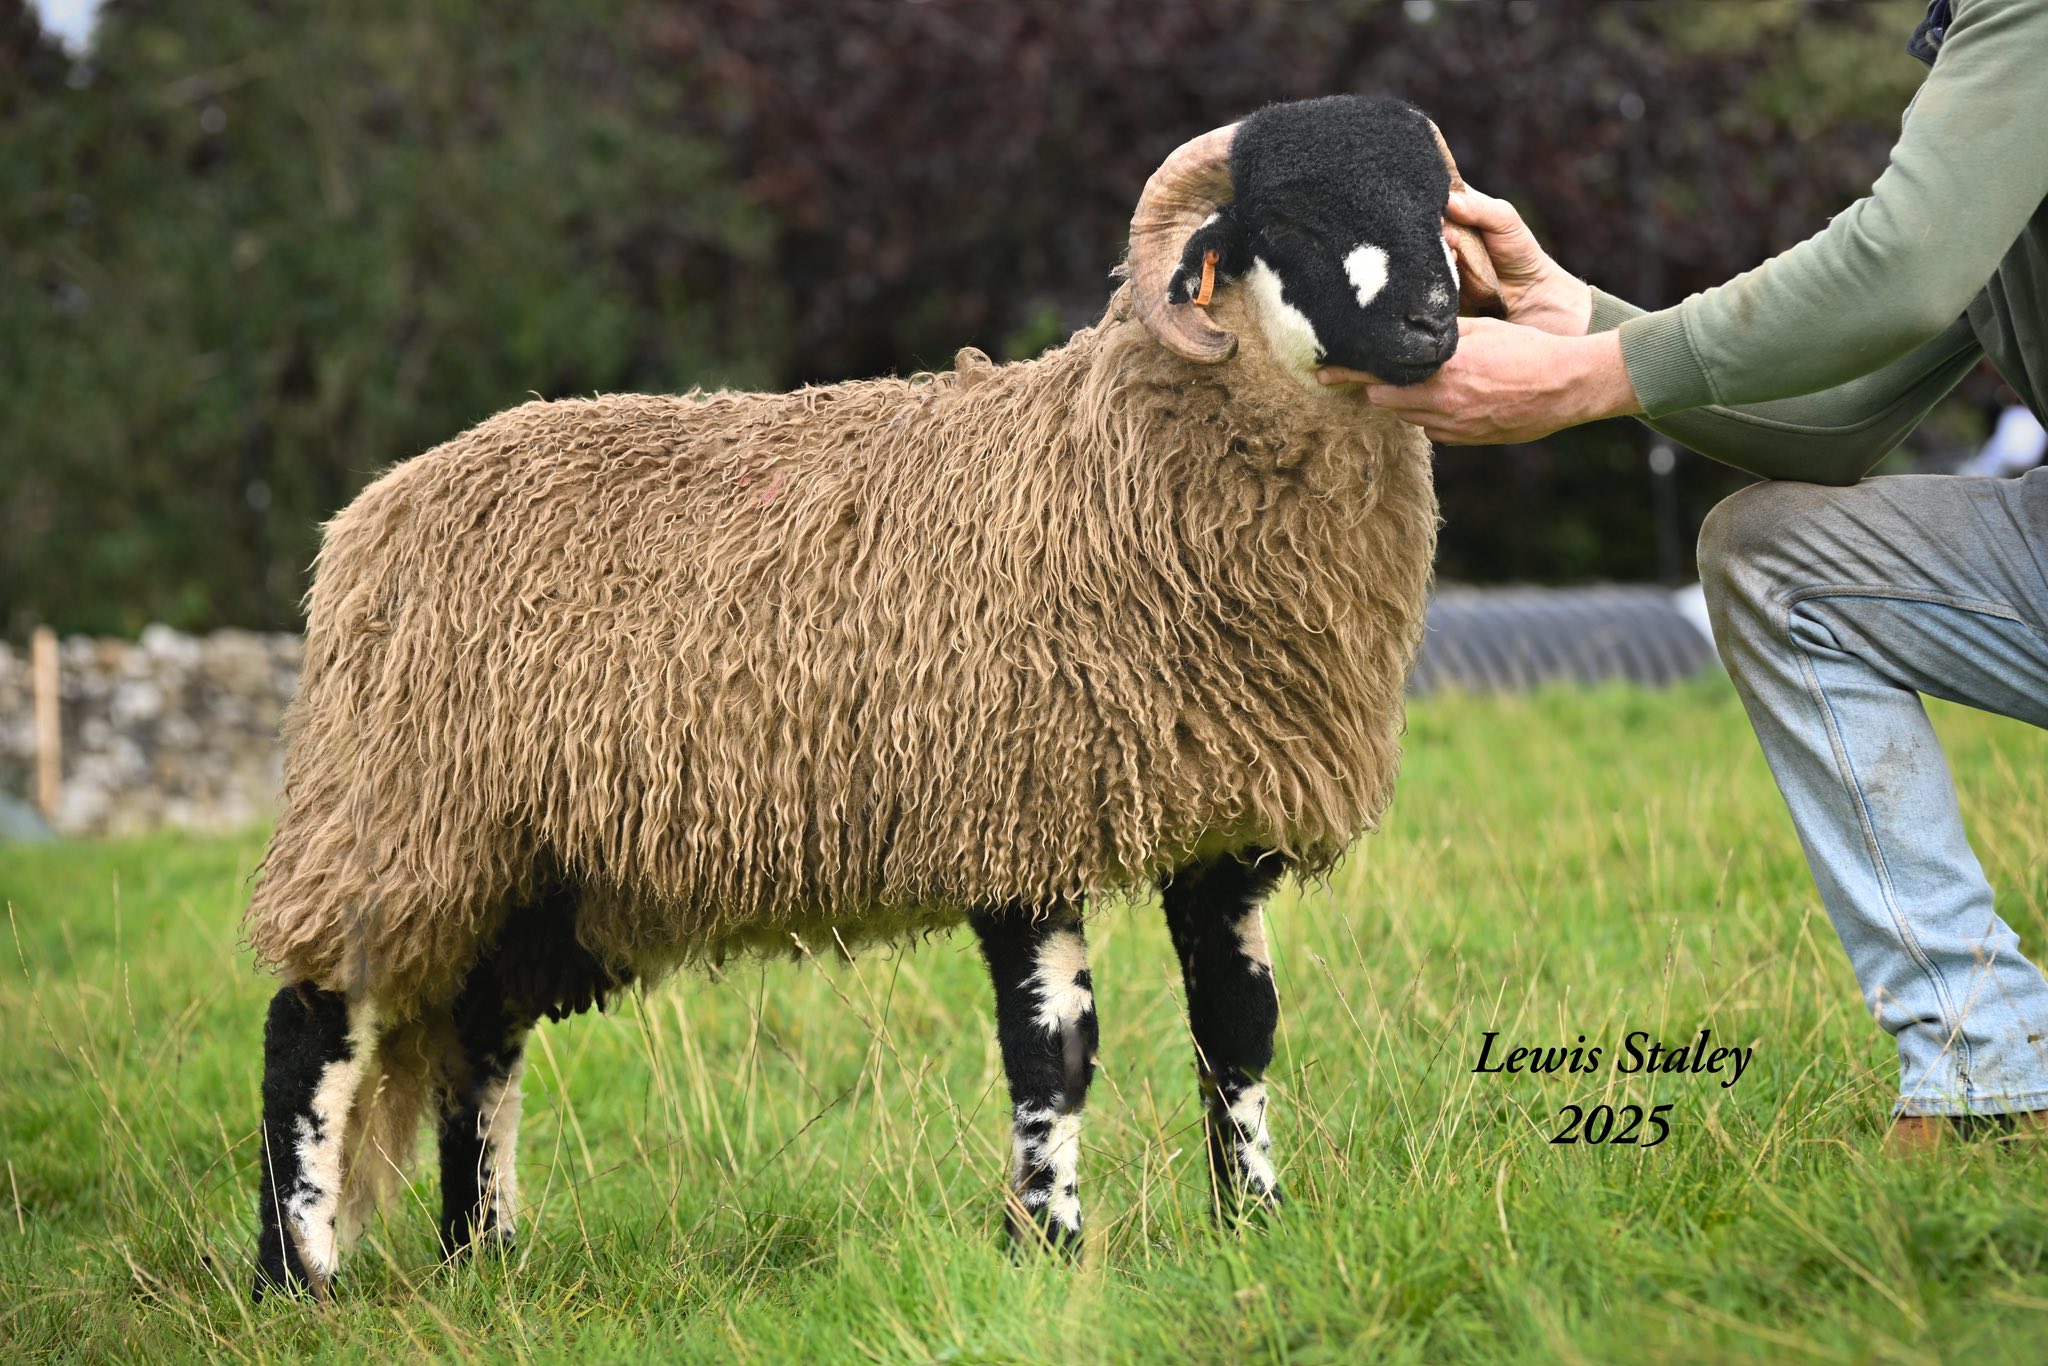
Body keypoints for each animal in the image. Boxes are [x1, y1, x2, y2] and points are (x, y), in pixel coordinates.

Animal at [245, 93, 1499, 1298]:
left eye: (1435, 205)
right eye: (1284, 217)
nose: (1431, 327)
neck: (1116, 464)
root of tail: (372, 509)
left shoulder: (1222, 820)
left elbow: (1238, 1030)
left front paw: (1253, 1223)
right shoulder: (1013, 810)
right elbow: (1053, 1052)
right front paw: (1047, 1244)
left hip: (535, 864)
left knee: (479, 1039)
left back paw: (483, 1254)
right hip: (395, 815)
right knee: (310, 1028)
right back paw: (297, 1277)